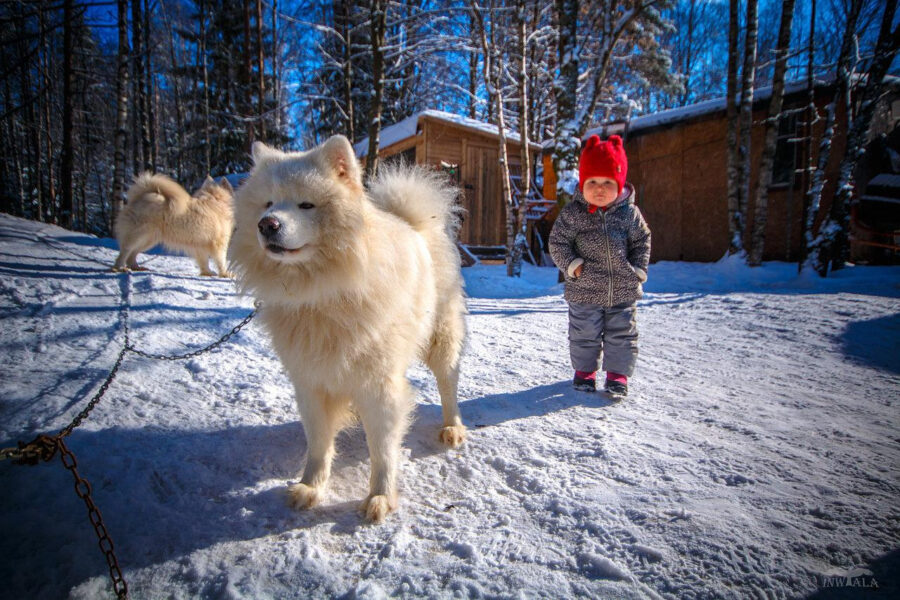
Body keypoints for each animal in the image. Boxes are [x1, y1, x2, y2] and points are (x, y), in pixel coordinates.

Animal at [229, 135, 468, 520]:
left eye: (306, 205)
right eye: (268, 203)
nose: (267, 224)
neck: (322, 291)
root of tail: (414, 221)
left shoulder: (380, 383)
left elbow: (382, 449)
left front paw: (380, 497)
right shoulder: (309, 381)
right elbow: (318, 442)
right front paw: (311, 487)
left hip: (442, 338)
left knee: (448, 386)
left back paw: (453, 428)